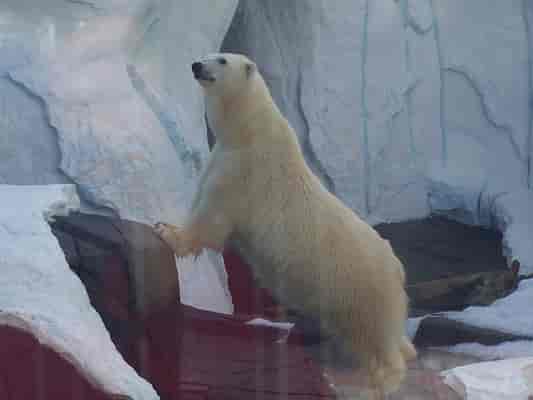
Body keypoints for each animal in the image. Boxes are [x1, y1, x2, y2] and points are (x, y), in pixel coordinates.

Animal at [154, 53, 416, 398]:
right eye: (207, 55)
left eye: (221, 59)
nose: (197, 65)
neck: (249, 129)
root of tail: (397, 267)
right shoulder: (223, 157)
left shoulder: (242, 172)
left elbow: (212, 218)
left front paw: (167, 231)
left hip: (361, 287)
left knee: (375, 337)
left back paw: (376, 383)